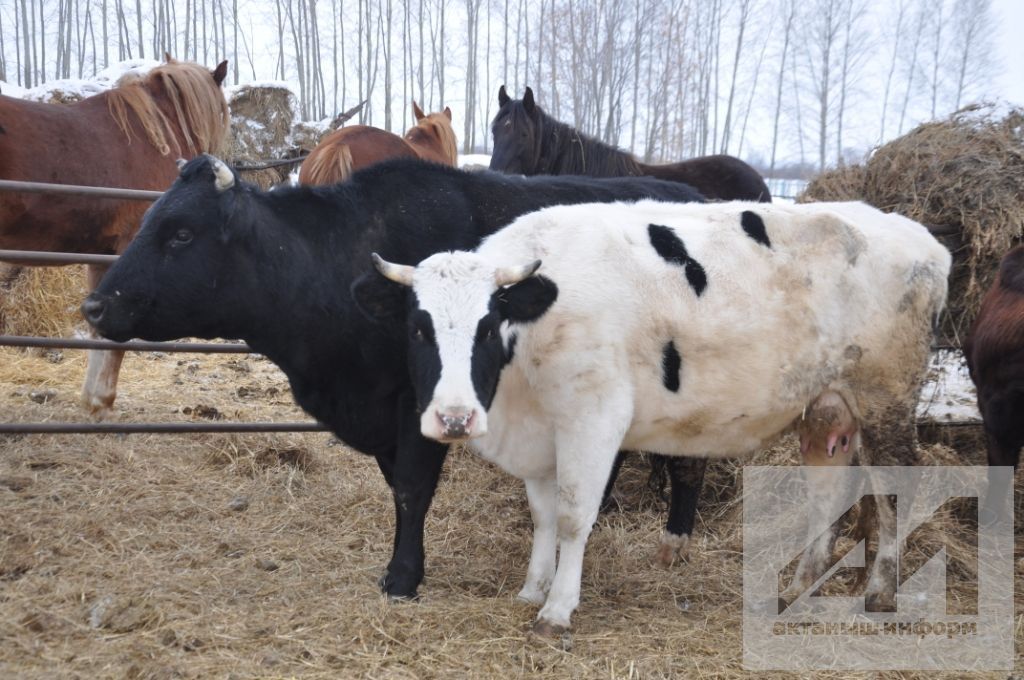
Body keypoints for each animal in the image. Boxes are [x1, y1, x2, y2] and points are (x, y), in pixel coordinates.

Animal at [83, 156, 704, 598]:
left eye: (181, 234)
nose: (93, 306)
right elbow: (397, 486)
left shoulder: (417, 403)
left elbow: (411, 487)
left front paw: (403, 576)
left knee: (687, 462)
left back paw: (675, 543)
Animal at [364, 199, 946, 634]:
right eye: (419, 328)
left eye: (487, 327)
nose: (454, 418)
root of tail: (922, 237)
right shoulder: (543, 433)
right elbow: (543, 516)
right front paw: (531, 589)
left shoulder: (593, 417)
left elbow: (574, 517)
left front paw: (557, 609)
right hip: (825, 407)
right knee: (828, 492)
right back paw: (801, 585)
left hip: (885, 397)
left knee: (895, 490)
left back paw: (879, 592)